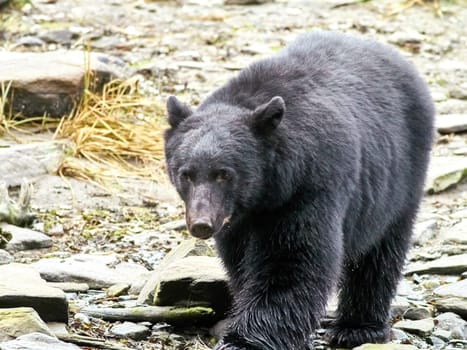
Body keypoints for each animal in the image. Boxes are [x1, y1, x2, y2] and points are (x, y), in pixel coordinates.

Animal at [165, 31, 436, 348]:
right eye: (186, 174)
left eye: (224, 174)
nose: (201, 224)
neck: (267, 192)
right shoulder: (238, 219)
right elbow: (240, 261)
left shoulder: (310, 187)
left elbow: (293, 260)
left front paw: (244, 339)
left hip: (400, 177)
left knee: (381, 252)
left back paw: (359, 327)